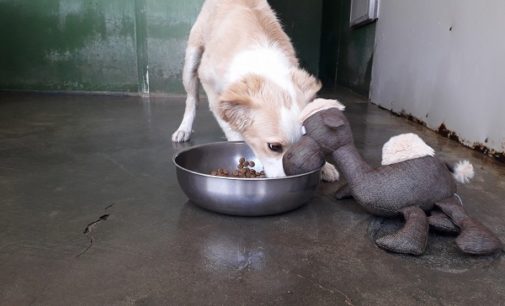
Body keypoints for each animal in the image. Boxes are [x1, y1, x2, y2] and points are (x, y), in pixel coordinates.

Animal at [170, 0, 338, 182]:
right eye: (274, 147)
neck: (265, 69)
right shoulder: (216, 96)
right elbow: (232, 131)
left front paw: (325, 167)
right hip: (191, 61)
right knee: (192, 99)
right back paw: (184, 129)